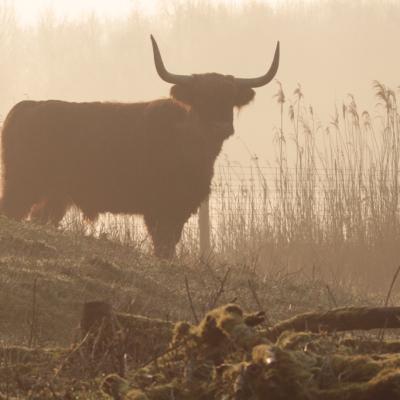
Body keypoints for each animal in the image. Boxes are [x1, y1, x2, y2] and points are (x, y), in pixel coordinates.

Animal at [0, 36, 280, 258]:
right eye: (201, 98)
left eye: (229, 98)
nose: (221, 126)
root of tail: (25, 107)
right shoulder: (158, 208)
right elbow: (162, 246)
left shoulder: (180, 208)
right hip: (21, 184)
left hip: (54, 195)